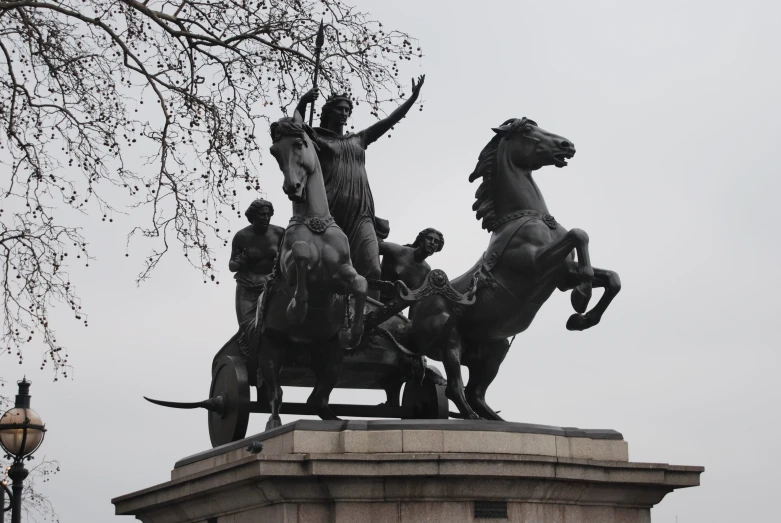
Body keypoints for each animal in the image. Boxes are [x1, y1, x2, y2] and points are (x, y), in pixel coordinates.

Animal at [256, 112, 366, 428]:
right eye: (274, 151)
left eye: (299, 143)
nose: (291, 188)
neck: (315, 222)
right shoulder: (291, 268)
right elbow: (303, 254)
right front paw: (297, 309)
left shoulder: (341, 274)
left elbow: (360, 283)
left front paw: (353, 333)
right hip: (271, 350)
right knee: (276, 395)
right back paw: (273, 424)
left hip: (329, 356)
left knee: (317, 398)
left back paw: (335, 419)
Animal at [408, 117, 620, 422]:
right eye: (528, 130)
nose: (567, 145)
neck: (529, 218)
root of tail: (413, 314)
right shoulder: (535, 265)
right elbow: (580, 235)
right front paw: (581, 297)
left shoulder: (562, 275)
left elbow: (612, 278)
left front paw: (581, 319)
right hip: (450, 340)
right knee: (455, 387)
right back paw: (472, 418)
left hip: (495, 348)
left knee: (476, 392)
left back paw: (498, 421)